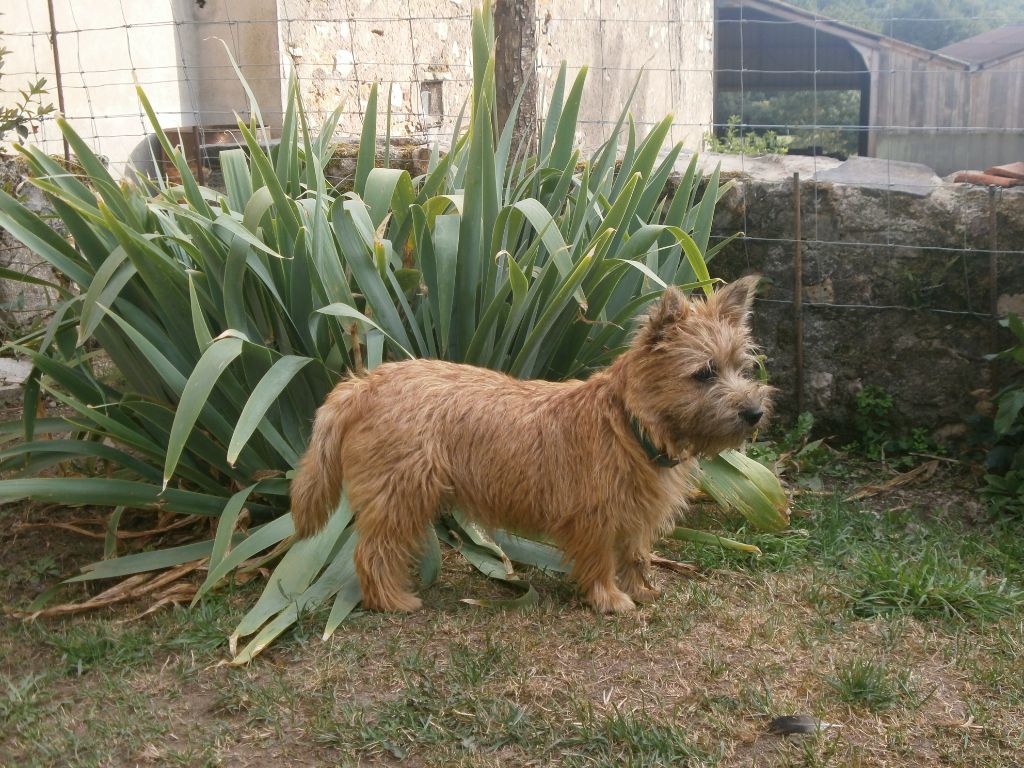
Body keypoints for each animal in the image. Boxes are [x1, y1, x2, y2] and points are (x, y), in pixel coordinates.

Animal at [288, 276, 770, 614]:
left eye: (741, 367)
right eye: (704, 372)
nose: (754, 412)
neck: (630, 426)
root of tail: (365, 382)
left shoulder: (636, 516)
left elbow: (636, 556)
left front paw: (642, 590)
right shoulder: (594, 516)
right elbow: (600, 561)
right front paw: (609, 599)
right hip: (399, 497)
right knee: (372, 553)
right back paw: (393, 601)